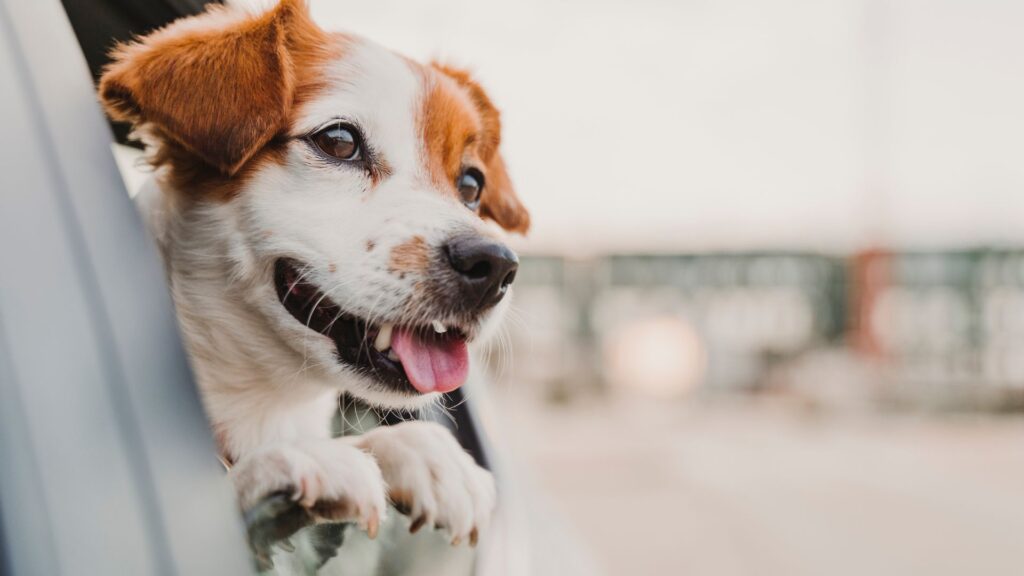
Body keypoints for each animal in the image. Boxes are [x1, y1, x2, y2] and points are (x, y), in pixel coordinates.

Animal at [97, 0, 528, 565]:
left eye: (472, 184)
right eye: (339, 142)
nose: (495, 265)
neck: (268, 402)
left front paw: (426, 452)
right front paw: (287, 460)